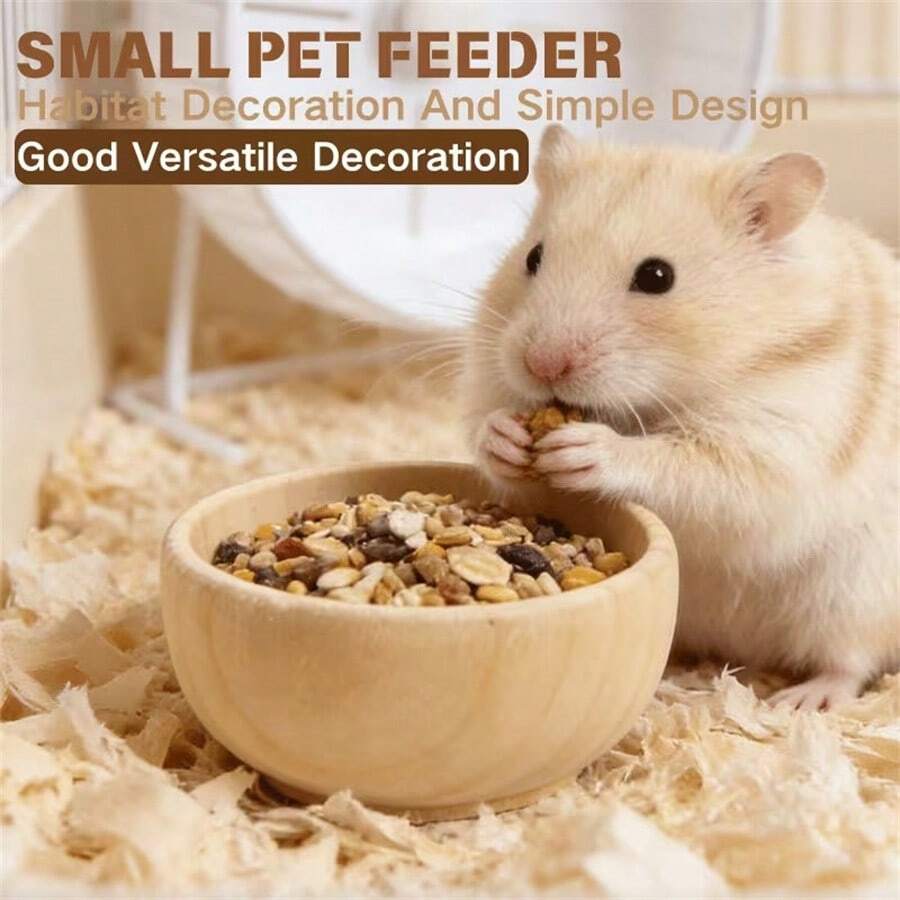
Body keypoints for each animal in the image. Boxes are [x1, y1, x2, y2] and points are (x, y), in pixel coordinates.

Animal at [462, 125, 898, 711]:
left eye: (657, 276)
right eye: (533, 257)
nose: (542, 365)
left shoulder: (775, 446)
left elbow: (690, 466)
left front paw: (585, 450)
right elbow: (488, 429)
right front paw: (506, 436)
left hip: (856, 594)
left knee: (851, 661)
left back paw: (801, 702)